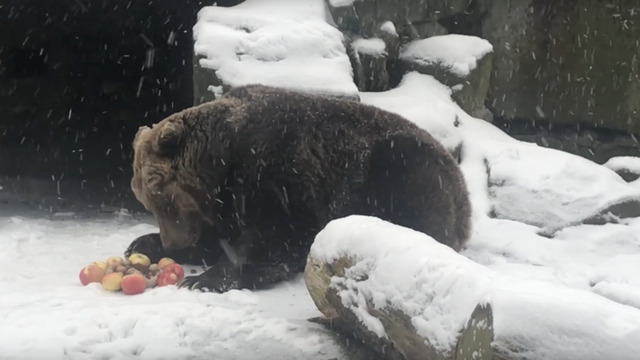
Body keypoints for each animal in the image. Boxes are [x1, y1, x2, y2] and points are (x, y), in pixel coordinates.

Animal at [124, 85, 470, 292]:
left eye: (163, 199)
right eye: (148, 203)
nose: (172, 242)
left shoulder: (279, 174)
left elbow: (275, 238)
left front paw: (205, 279)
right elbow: (216, 237)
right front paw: (142, 243)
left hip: (401, 168)